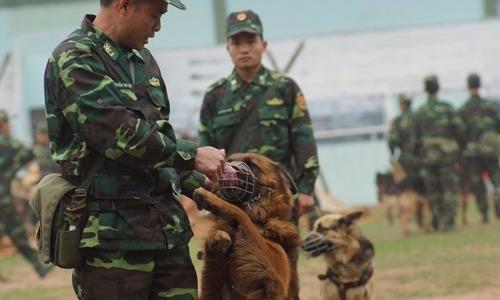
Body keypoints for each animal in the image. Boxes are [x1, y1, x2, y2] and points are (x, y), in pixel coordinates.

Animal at [193, 154, 298, 298]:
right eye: (228, 161)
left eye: (252, 165)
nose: (228, 170)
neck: (260, 221)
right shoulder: (213, 284)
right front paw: (217, 238)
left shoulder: (278, 276)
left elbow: (240, 213)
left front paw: (211, 198)